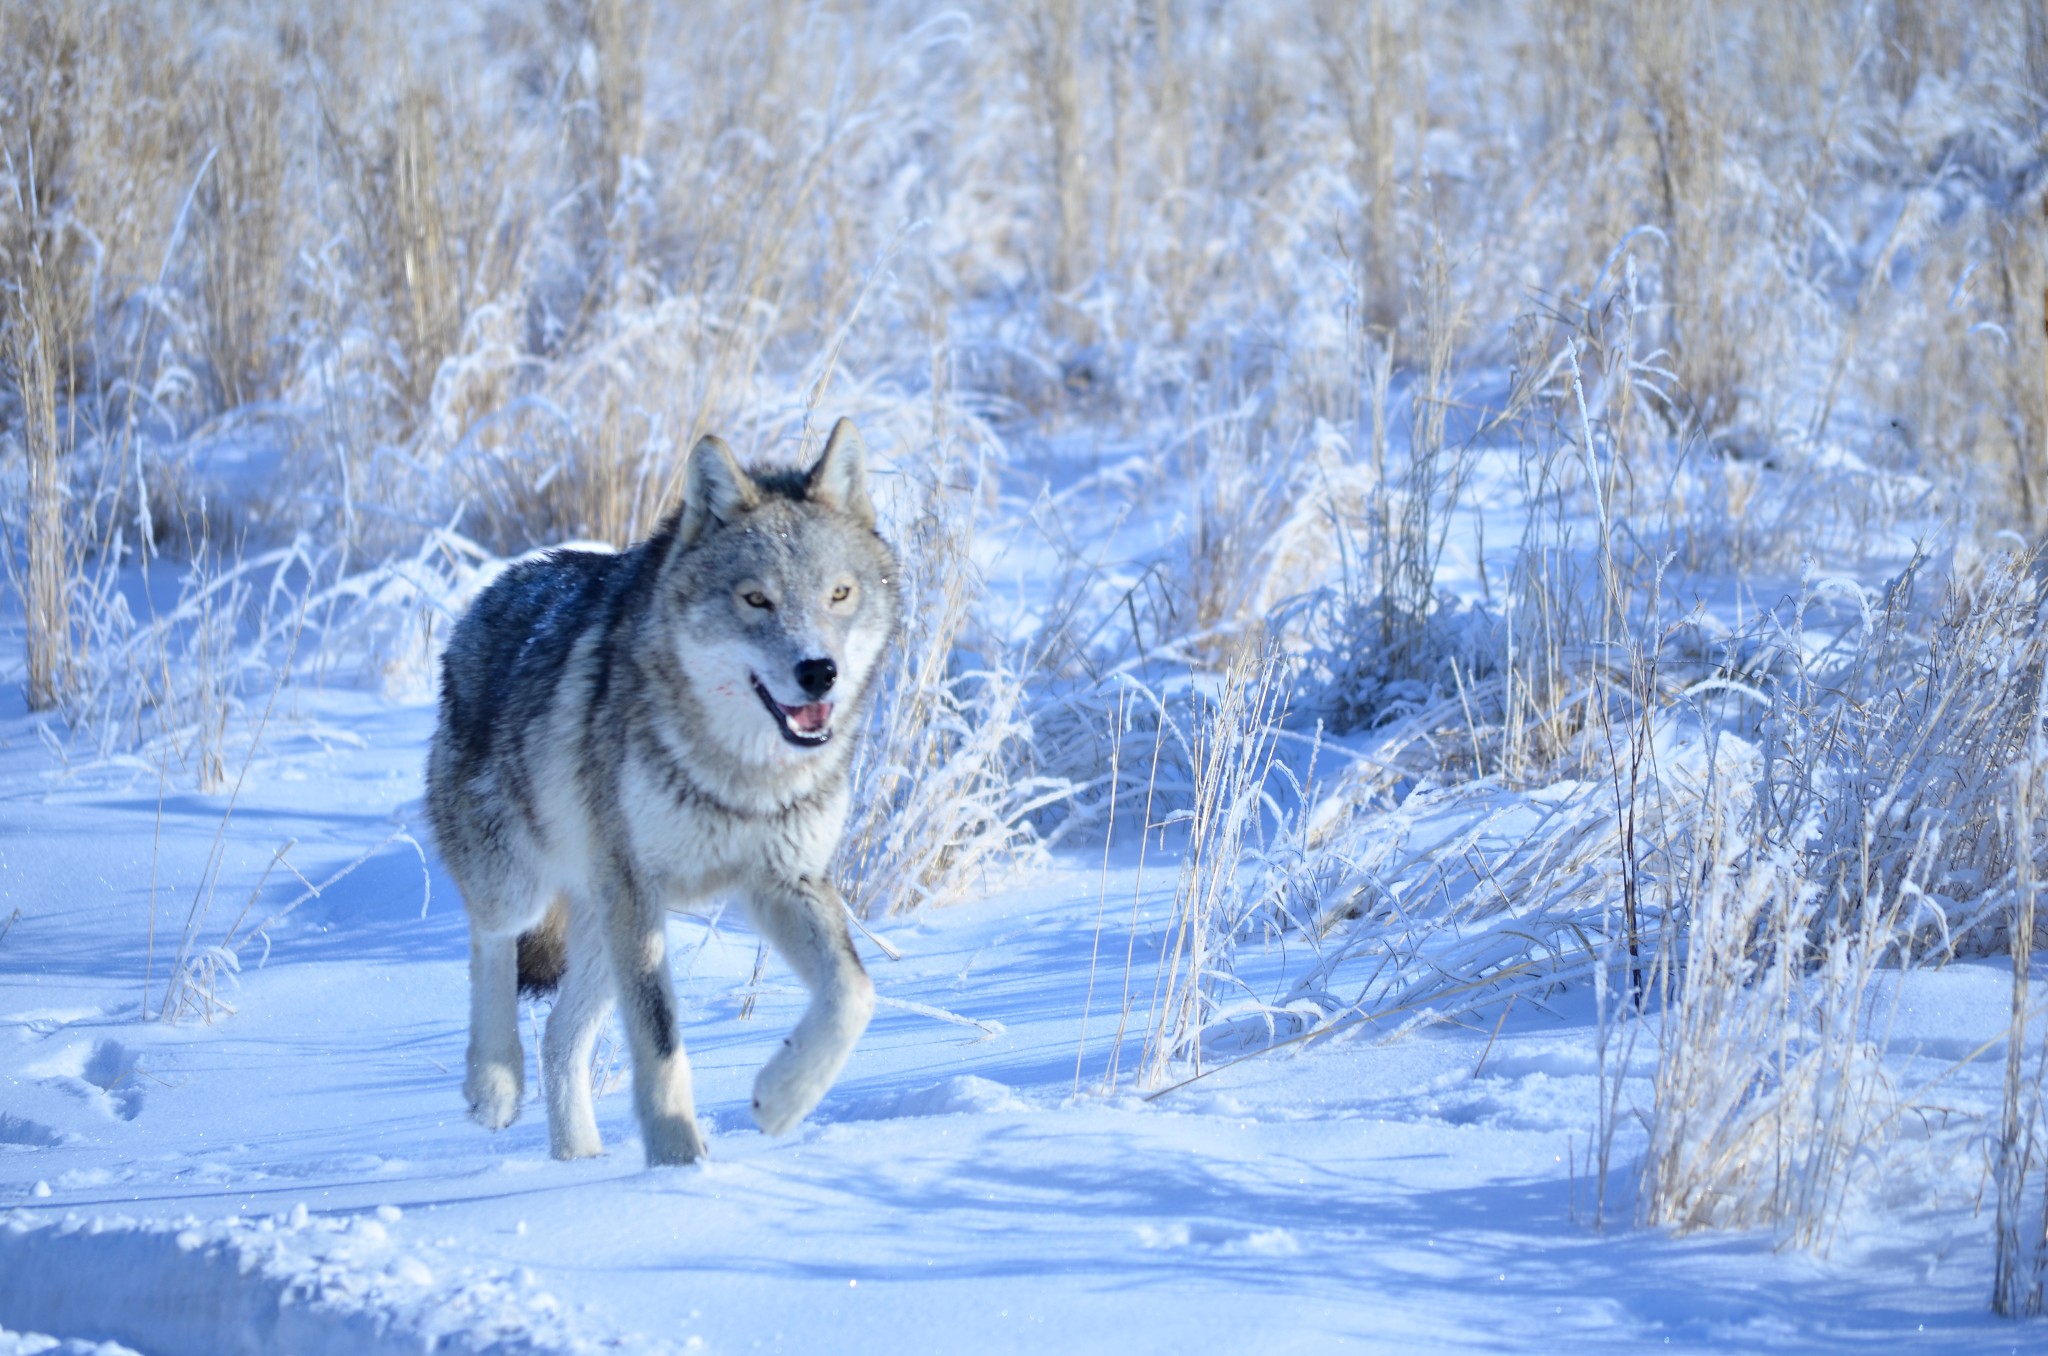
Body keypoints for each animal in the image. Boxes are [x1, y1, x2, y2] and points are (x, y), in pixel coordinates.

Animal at [428, 426, 901, 1171]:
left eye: (840, 594)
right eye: (756, 600)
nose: (818, 671)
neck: (738, 773)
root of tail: (486, 596)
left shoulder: (784, 880)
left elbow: (854, 993)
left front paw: (779, 1100)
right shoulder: (638, 888)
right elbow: (660, 1044)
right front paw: (680, 1172)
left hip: (605, 927)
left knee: (559, 1035)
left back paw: (579, 1161)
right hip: (529, 886)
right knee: (491, 945)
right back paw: (494, 1086)